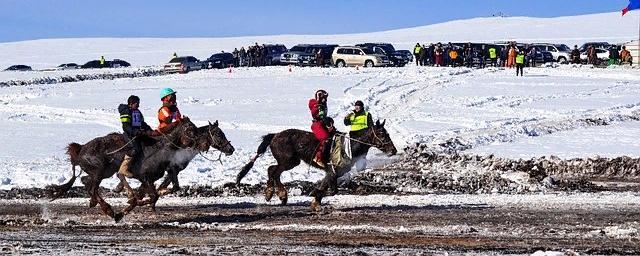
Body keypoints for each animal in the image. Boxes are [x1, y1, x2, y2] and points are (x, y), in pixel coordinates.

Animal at [47, 117, 208, 221]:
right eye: (191, 129)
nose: (204, 144)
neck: (159, 148)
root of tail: (80, 149)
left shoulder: (151, 179)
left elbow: (151, 194)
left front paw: (128, 206)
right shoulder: (145, 177)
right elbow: (152, 196)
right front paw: (128, 206)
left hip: (104, 172)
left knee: (86, 181)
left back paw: (97, 204)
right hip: (99, 171)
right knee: (93, 187)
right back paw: (109, 210)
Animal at [236, 119, 396, 211]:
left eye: (387, 133)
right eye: (382, 134)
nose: (393, 150)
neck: (350, 145)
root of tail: (275, 135)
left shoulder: (334, 173)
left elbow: (326, 187)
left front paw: (316, 201)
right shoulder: (332, 170)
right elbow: (332, 190)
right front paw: (315, 195)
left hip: (291, 161)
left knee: (272, 170)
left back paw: (275, 194)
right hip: (288, 161)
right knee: (274, 172)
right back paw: (276, 194)